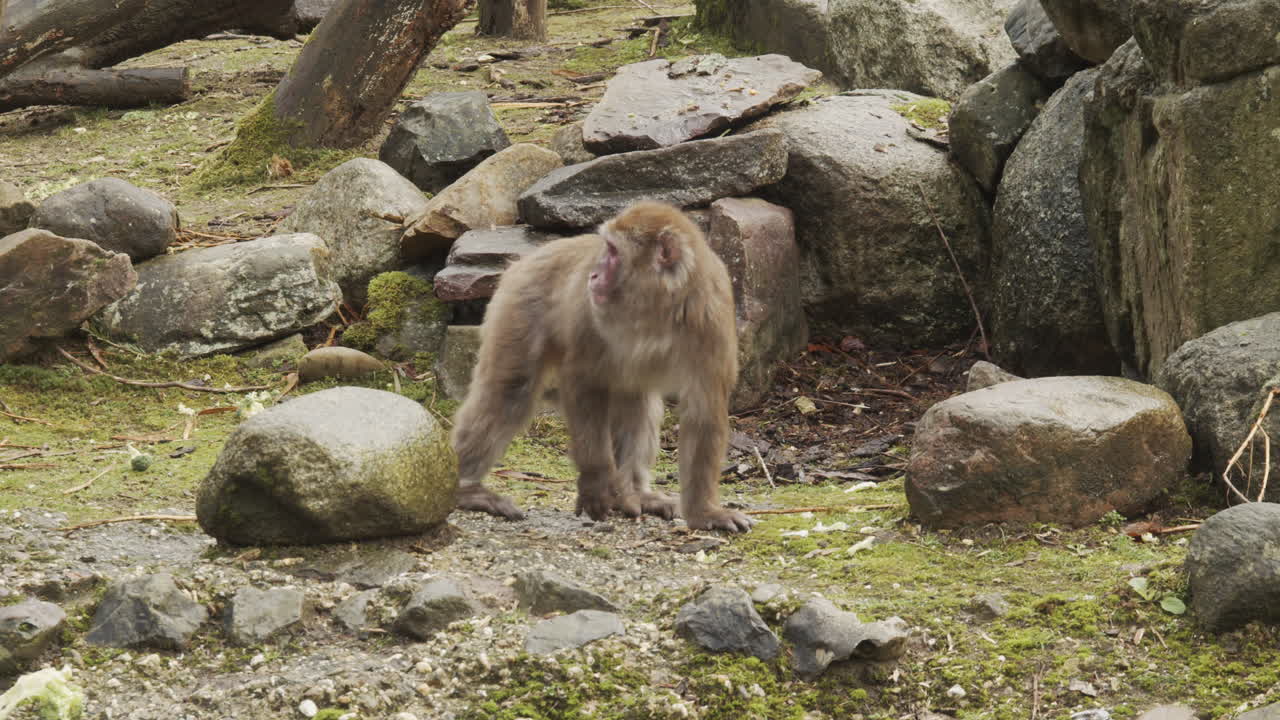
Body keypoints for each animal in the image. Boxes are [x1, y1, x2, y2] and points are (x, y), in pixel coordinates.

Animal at [450, 201, 754, 532]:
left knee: (639, 401)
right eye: (605, 247)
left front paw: (704, 513)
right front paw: (595, 480)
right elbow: (582, 380)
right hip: (520, 302)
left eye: (613, 251)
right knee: (508, 393)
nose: (593, 275)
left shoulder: (711, 315)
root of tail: (529, 256)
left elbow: (703, 408)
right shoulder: (590, 313)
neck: (654, 309)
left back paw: (634, 492)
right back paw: (465, 490)